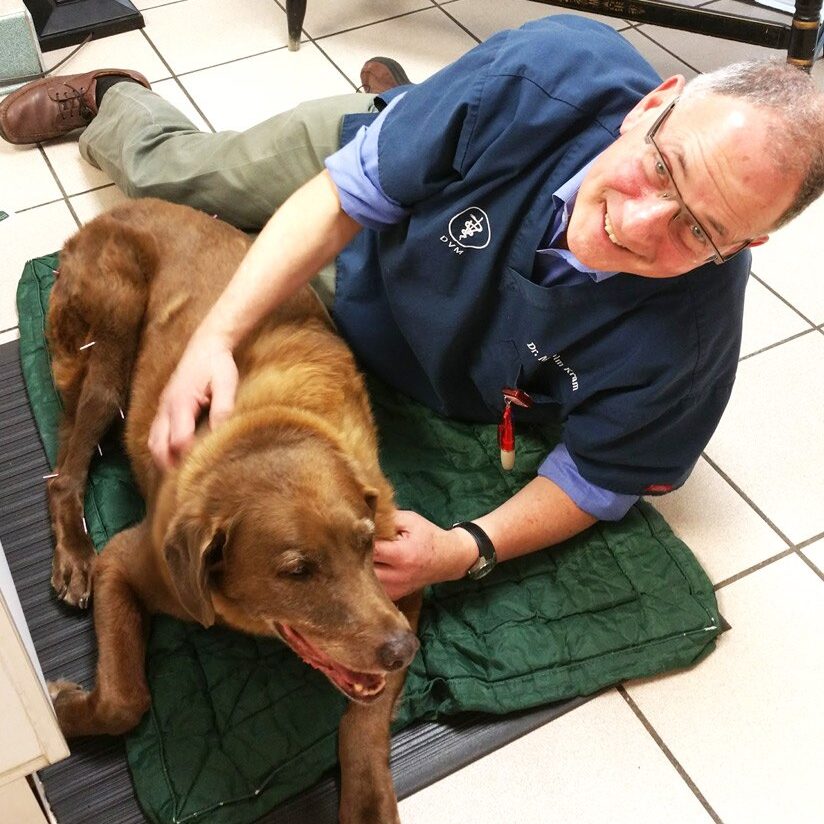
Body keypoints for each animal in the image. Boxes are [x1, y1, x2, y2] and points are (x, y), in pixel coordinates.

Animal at [43, 200, 418, 824]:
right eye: (297, 571)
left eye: (367, 544)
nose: (403, 650)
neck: (268, 428)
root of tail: (108, 213)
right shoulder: (128, 561)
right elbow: (125, 698)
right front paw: (62, 710)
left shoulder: (404, 589)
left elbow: (362, 723)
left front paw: (367, 799)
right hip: (110, 339)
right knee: (65, 471)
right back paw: (74, 556)